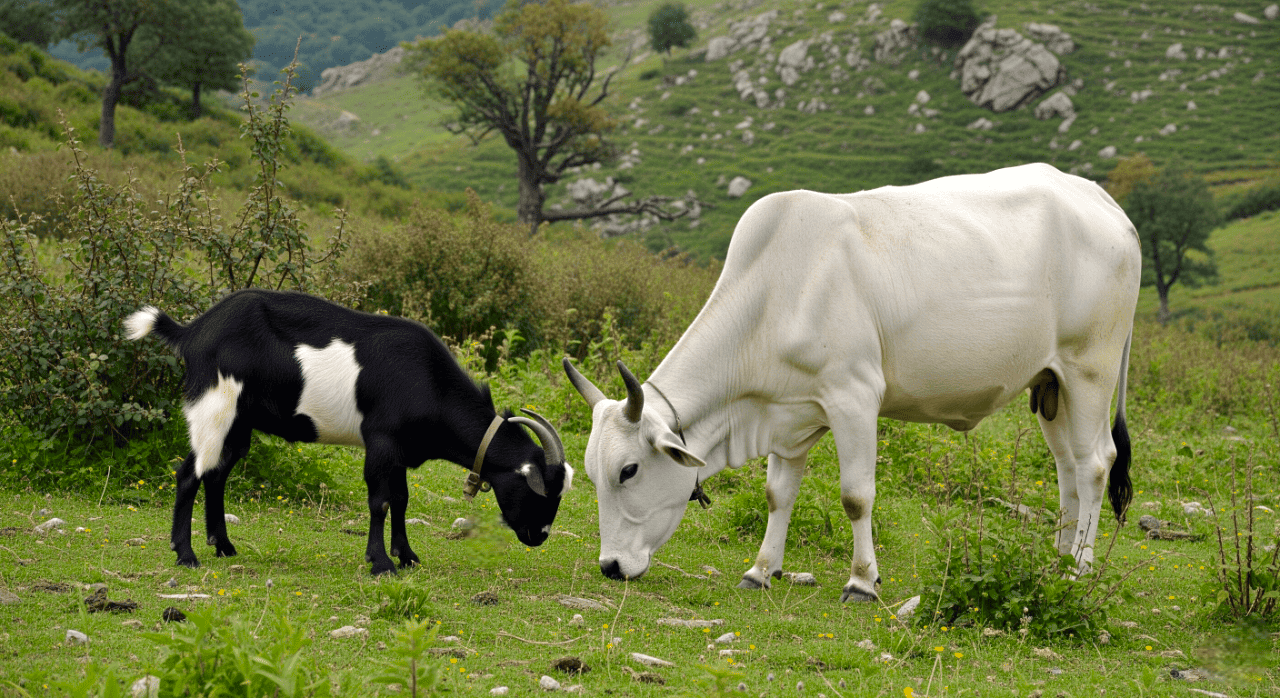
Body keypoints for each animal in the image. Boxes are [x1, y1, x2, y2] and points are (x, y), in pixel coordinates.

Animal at [125, 289, 573, 575]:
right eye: (538, 492)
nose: (539, 537)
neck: (428, 381)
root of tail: (193, 331)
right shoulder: (381, 440)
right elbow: (380, 501)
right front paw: (381, 563)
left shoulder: (400, 450)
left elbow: (402, 499)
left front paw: (407, 556)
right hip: (215, 405)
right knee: (189, 474)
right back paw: (186, 555)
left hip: (240, 422)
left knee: (216, 473)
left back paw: (224, 546)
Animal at [563, 163, 1139, 602]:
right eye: (590, 473)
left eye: (629, 470)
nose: (610, 566)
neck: (777, 292)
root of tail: (1103, 202)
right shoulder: (787, 412)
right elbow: (777, 494)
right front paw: (761, 570)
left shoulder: (855, 398)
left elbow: (857, 497)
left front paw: (862, 581)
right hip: (1051, 385)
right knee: (1067, 468)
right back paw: (1057, 562)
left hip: (1089, 371)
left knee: (1094, 465)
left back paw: (1080, 568)